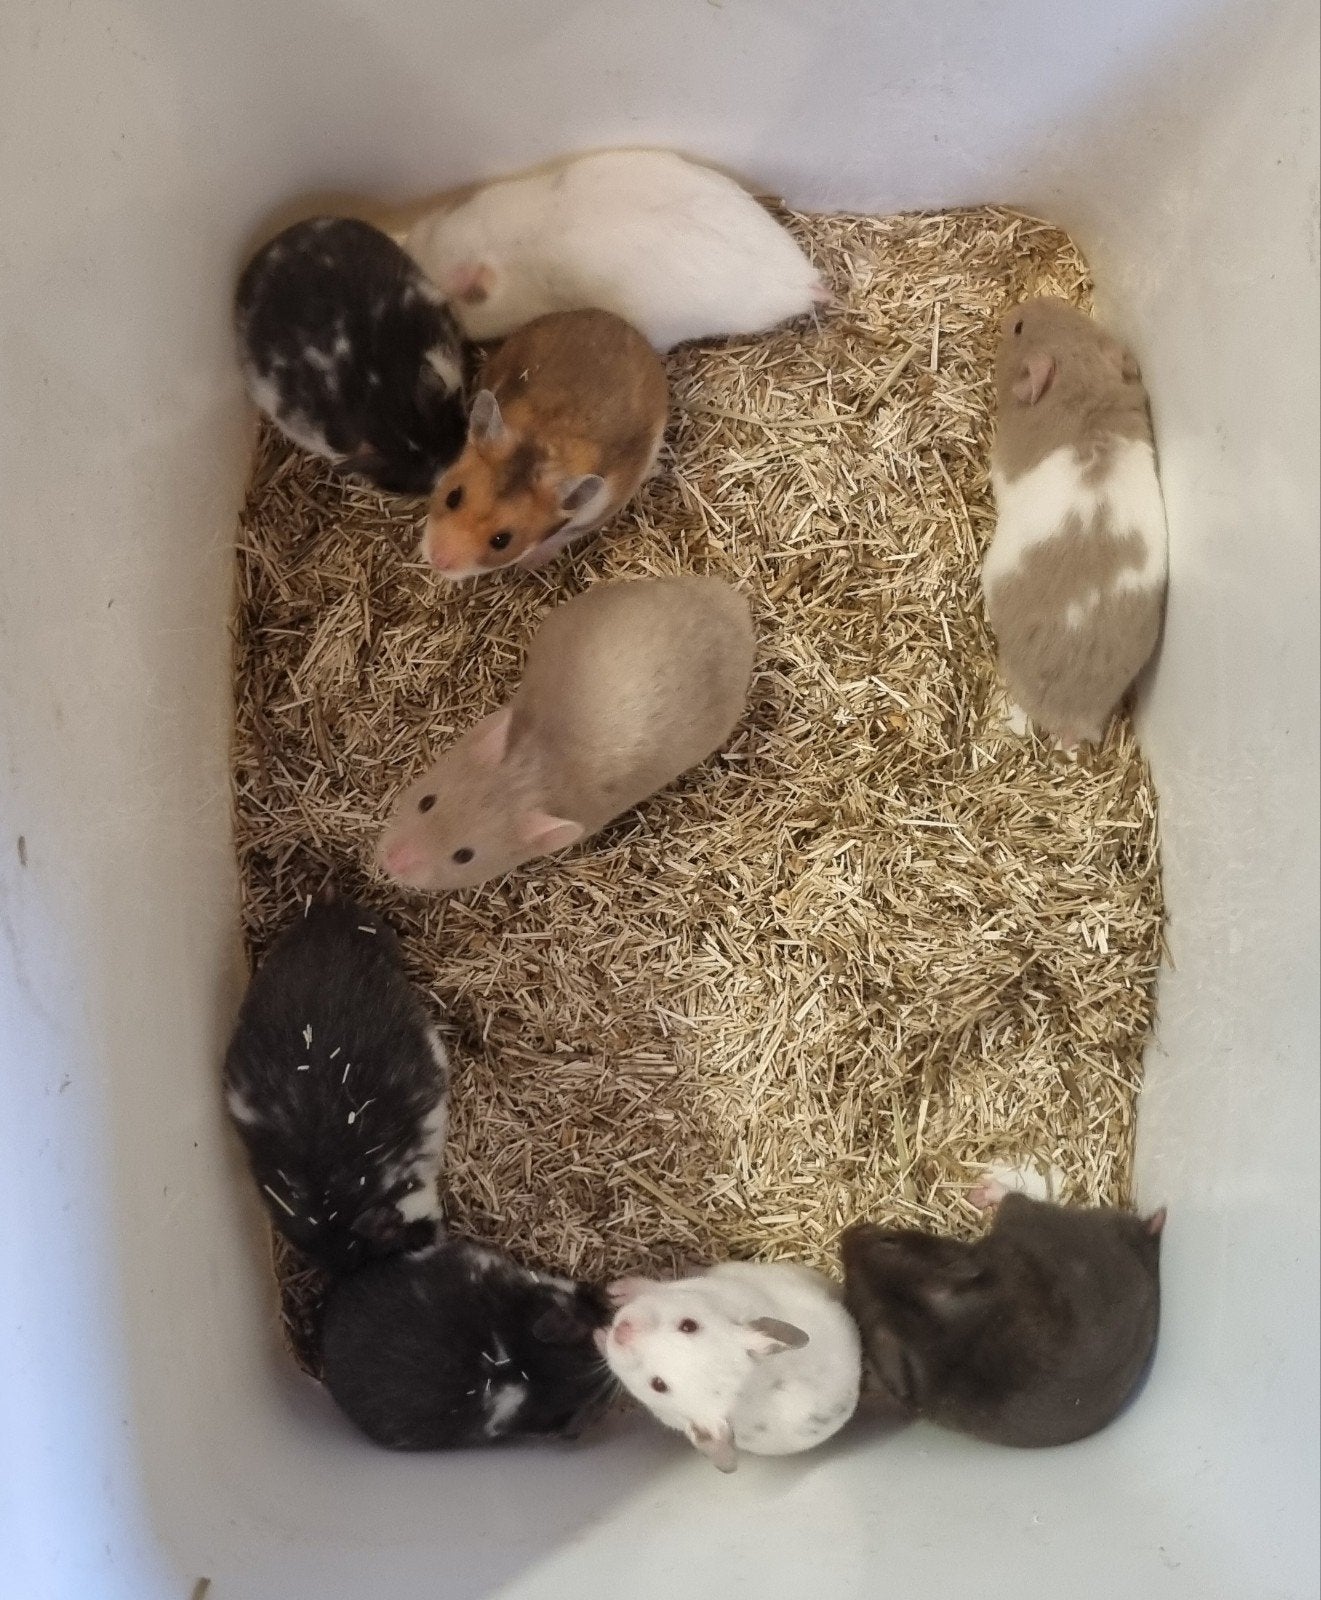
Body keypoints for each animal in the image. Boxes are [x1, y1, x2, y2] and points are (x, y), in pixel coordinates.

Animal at [420, 309, 667, 579]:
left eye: (501, 541)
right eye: (452, 497)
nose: (436, 561)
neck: (542, 445)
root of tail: (622, 323)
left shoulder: (601, 508)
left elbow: (565, 534)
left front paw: (527, 565)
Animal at [598, 1262, 862, 1473]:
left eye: (658, 1385)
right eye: (689, 1326)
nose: (622, 1330)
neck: (753, 1381)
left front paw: (599, 1334)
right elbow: (653, 1287)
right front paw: (614, 1291)